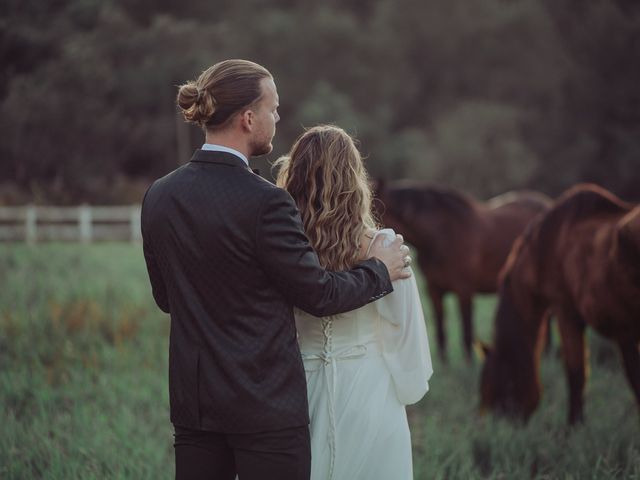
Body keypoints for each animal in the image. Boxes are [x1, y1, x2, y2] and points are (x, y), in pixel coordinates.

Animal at [376, 180, 552, 360]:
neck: (440, 237)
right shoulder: (434, 290)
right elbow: (440, 329)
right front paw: (444, 361)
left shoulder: (464, 291)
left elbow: (467, 330)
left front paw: (469, 362)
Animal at [480, 184, 640, 424]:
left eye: (502, 384)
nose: (503, 424)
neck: (545, 250)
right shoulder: (625, 332)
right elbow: (634, 378)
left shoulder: (566, 312)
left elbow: (576, 373)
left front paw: (574, 426)